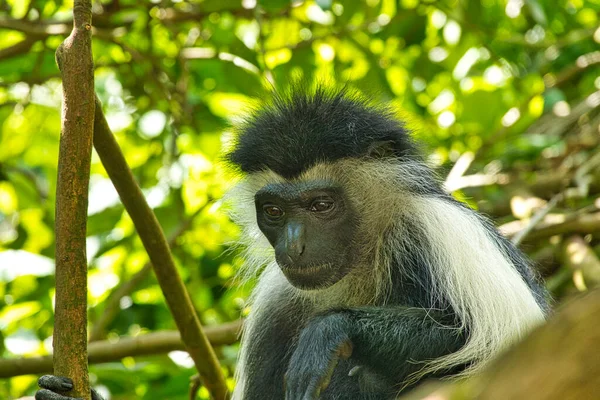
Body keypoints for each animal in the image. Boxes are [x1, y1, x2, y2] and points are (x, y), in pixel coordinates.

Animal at [35, 88, 548, 400]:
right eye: (275, 212)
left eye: (321, 205)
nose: (295, 246)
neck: (362, 262)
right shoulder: (278, 306)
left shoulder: (442, 232)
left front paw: (329, 330)